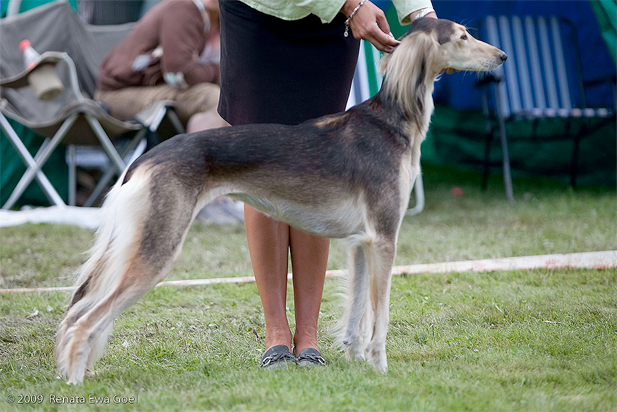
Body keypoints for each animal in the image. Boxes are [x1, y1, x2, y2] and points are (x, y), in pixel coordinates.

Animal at [55, 16, 506, 384]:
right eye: (463, 37)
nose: (502, 56)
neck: (392, 120)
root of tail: (144, 158)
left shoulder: (362, 243)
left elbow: (357, 312)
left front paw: (356, 360)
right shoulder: (384, 238)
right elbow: (380, 317)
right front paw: (380, 367)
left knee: (82, 313)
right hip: (157, 248)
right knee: (85, 320)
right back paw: (76, 381)